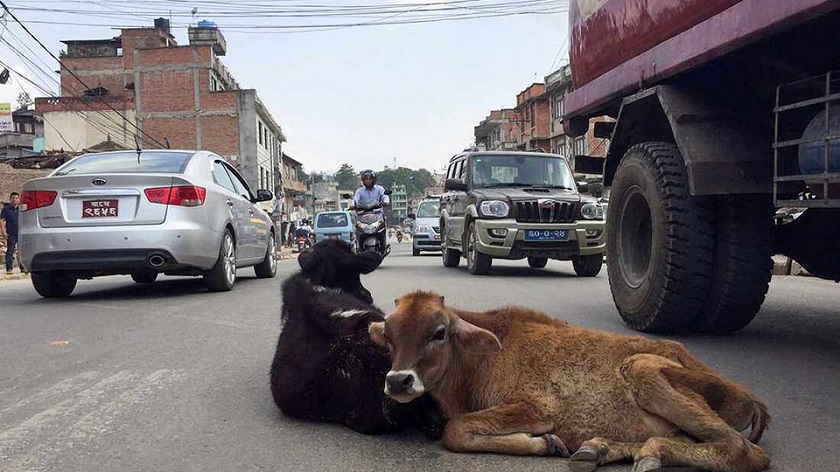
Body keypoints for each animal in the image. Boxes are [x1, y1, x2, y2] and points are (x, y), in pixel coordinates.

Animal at [370, 292, 772, 472]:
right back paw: (598, 450)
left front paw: (543, 441)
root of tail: (751, 399)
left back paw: (646, 454)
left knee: (742, 450)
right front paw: (550, 444)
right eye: (388, 336)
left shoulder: (537, 407)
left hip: (641, 368)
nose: (399, 381)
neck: (477, 361)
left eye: (439, 332)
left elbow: (454, 430)